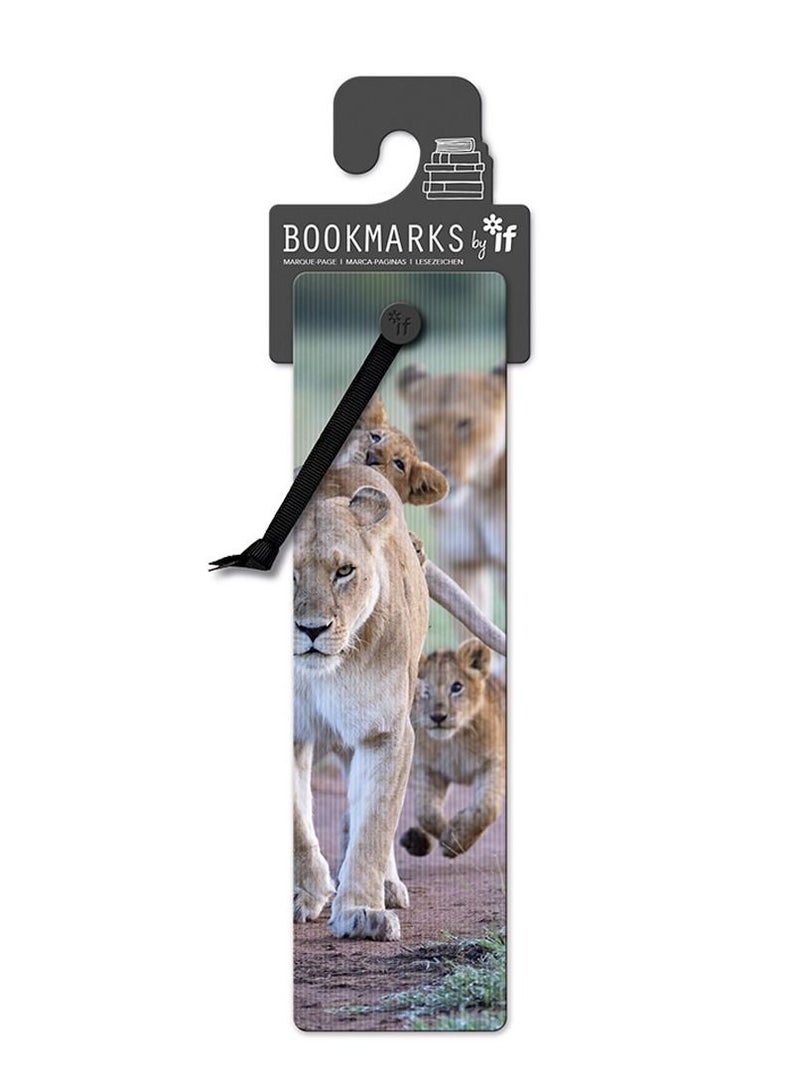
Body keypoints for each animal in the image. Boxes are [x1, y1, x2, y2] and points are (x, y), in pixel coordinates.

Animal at [293, 464, 428, 940]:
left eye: (345, 571)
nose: (311, 629)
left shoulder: (385, 731)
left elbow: (374, 824)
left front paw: (362, 911)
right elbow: (296, 822)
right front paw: (307, 891)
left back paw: (386, 886)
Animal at [400, 638, 505, 859]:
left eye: (457, 687)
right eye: (425, 689)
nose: (438, 717)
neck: (454, 741)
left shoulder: (495, 763)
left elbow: (487, 808)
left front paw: (458, 838)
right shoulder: (428, 770)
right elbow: (426, 812)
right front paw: (449, 836)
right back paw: (416, 840)